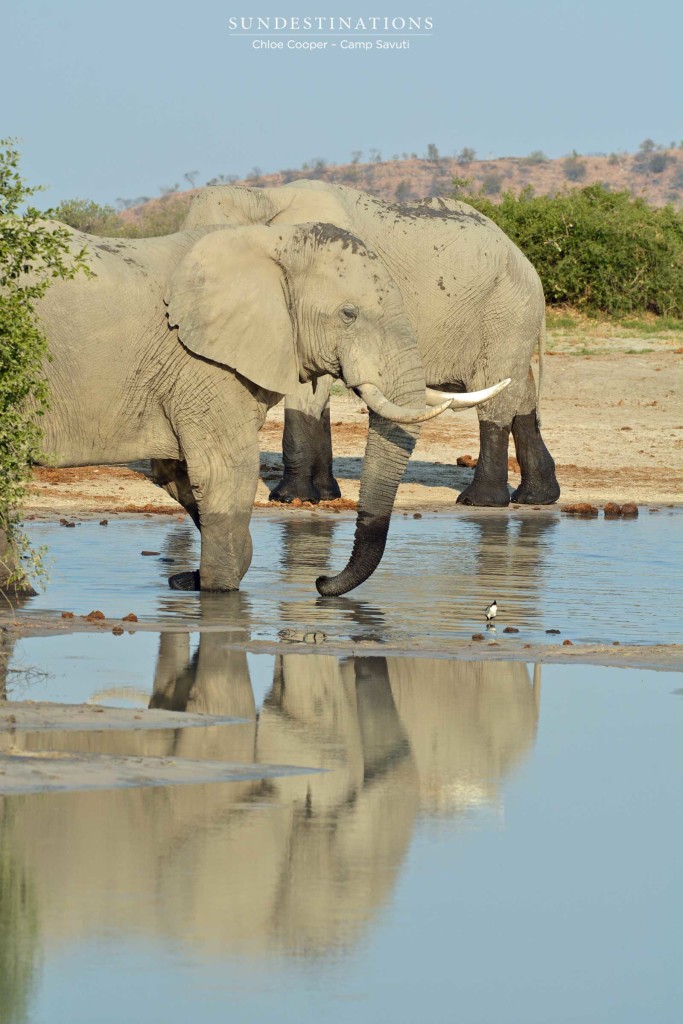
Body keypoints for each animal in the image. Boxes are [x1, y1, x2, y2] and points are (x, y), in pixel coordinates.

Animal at [18, 220, 505, 598]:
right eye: (348, 314)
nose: (320, 582)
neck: (272, 242)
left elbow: (180, 475)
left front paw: (193, 579)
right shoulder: (202, 364)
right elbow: (226, 472)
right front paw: (219, 593)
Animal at [181, 182, 561, 509]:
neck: (261, 197)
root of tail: (526, 262)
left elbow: (306, 393)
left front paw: (291, 498)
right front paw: (325, 494)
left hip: (505, 312)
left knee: (495, 393)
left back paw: (479, 501)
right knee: (519, 393)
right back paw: (537, 497)